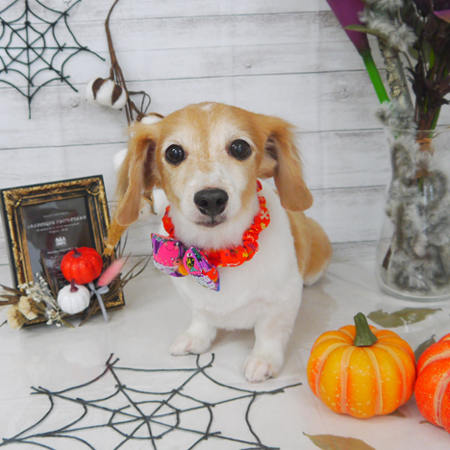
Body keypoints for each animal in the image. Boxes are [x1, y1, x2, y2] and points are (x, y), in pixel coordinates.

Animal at [115, 102, 332, 383]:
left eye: (240, 147)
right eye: (174, 153)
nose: (210, 199)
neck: (216, 254)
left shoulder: (283, 300)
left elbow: (270, 333)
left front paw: (263, 359)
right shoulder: (193, 299)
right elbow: (201, 319)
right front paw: (195, 338)